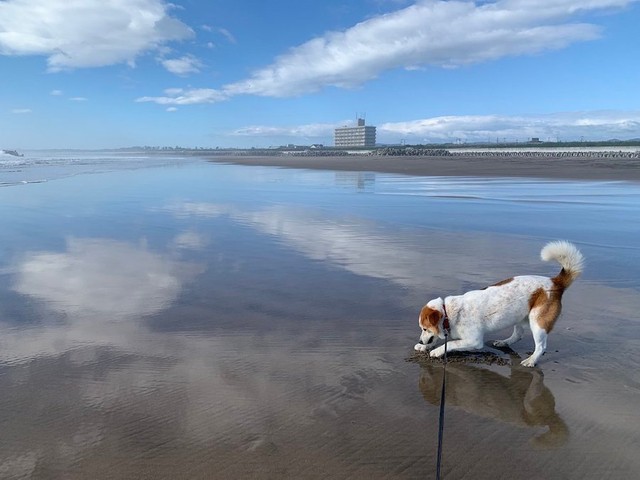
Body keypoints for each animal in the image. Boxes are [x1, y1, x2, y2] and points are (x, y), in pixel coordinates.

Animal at [416, 240, 584, 368]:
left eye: (425, 328)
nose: (419, 340)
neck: (448, 314)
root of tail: (555, 282)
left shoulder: (474, 340)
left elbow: (450, 344)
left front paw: (436, 351)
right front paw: (424, 346)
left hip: (538, 322)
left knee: (541, 346)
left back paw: (531, 360)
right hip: (519, 315)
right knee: (518, 335)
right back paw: (504, 342)